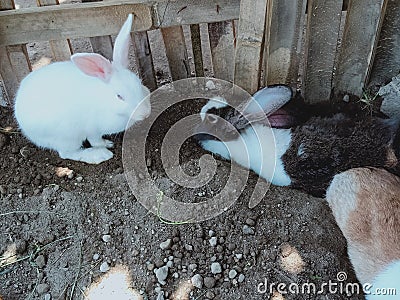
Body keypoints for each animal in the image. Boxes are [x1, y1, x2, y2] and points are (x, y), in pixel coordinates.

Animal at [14, 14, 150, 164]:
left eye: (139, 83)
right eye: (119, 96)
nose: (145, 114)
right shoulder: (93, 129)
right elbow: (95, 140)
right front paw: (105, 145)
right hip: (67, 137)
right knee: (67, 153)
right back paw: (100, 155)